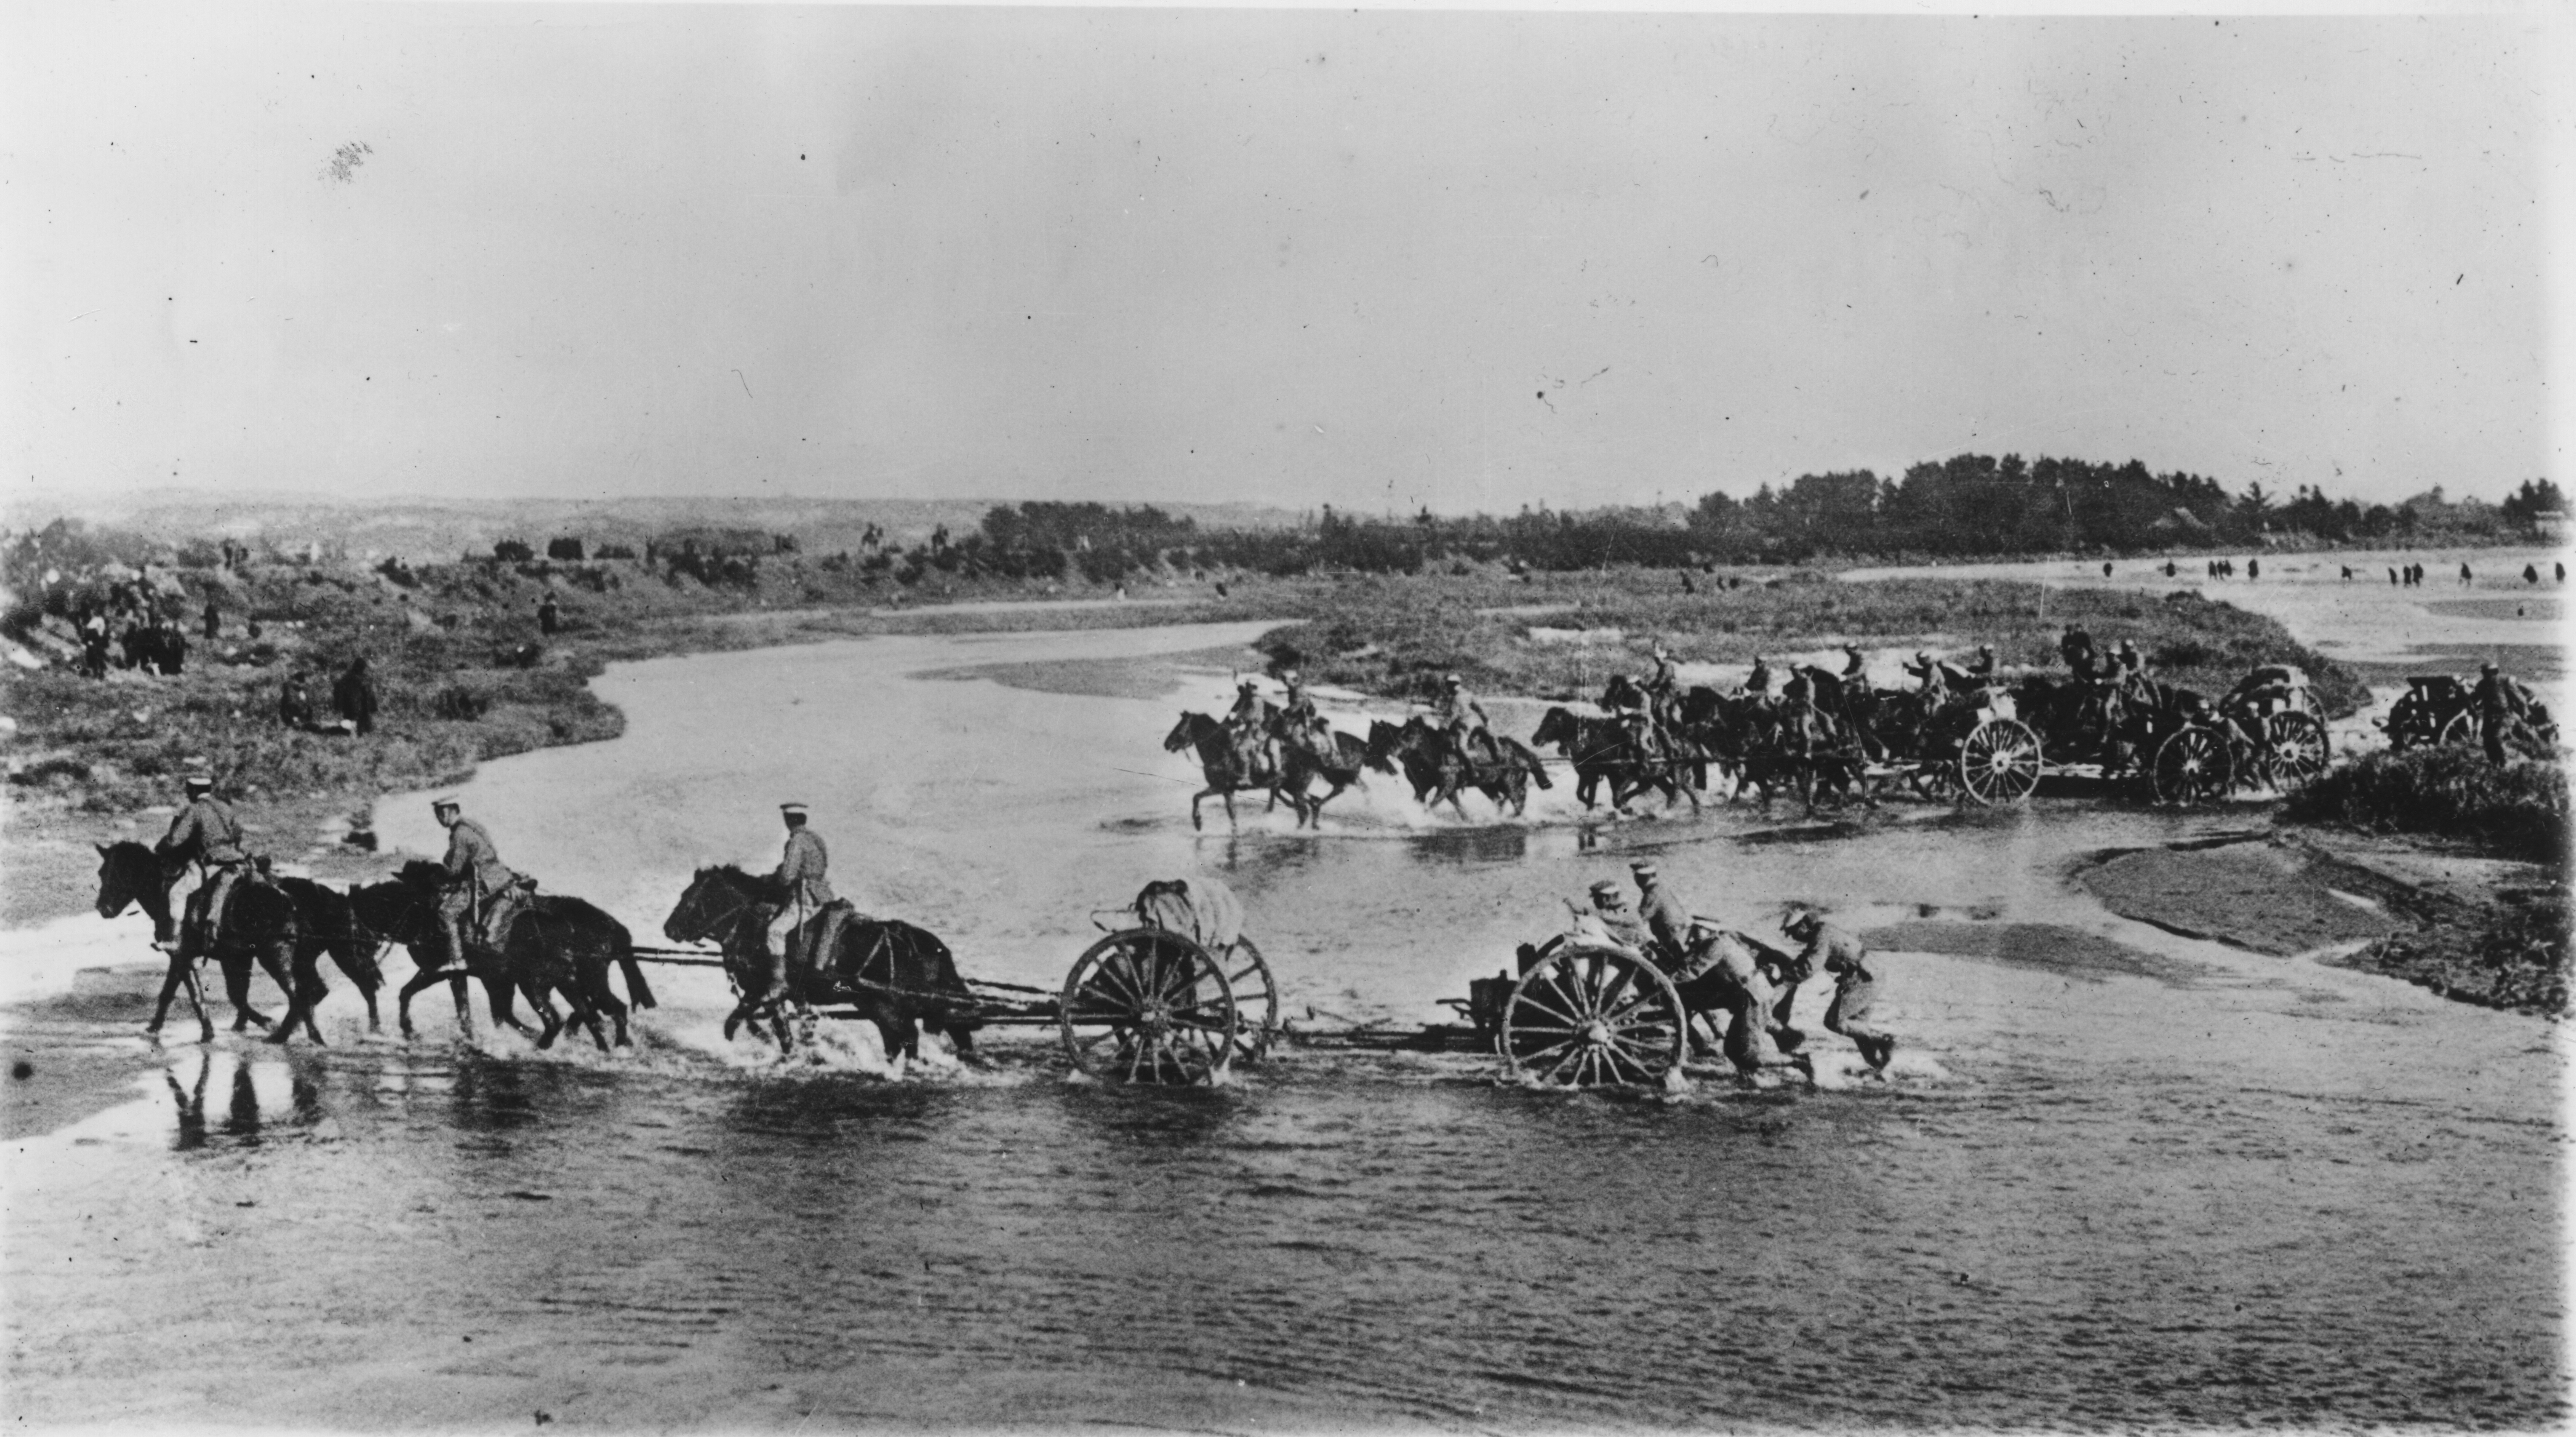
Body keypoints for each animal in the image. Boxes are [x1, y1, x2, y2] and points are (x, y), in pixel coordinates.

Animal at [93, 845, 309, 1045]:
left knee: (296, 992)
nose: (103, 909)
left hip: (275, 956)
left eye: (121, 872)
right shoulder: (233, 958)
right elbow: (171, 993)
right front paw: (154, 1028)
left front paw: (209, 1033)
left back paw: (282, 1034)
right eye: (102, 872)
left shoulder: (183, 956)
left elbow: (198, 994)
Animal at [659, 865, 979, 1071]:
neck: (754, 923)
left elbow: (742, 1025)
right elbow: (781, 1032)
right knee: (903, 1040)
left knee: (909, 1037)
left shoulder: (764, 992)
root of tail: (926, 944)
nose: (668, 929)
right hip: (876, 1006)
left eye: (689, 897)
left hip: (887, 1005)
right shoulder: (777, 996)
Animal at [1169, 711, 1288, 834]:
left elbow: (1197, 797)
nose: (1167, 744)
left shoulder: (1220, 787)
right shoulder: (1229, 791)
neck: (1220, 751)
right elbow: (1232, 813)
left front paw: (1198, 822)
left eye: (1180, 726)